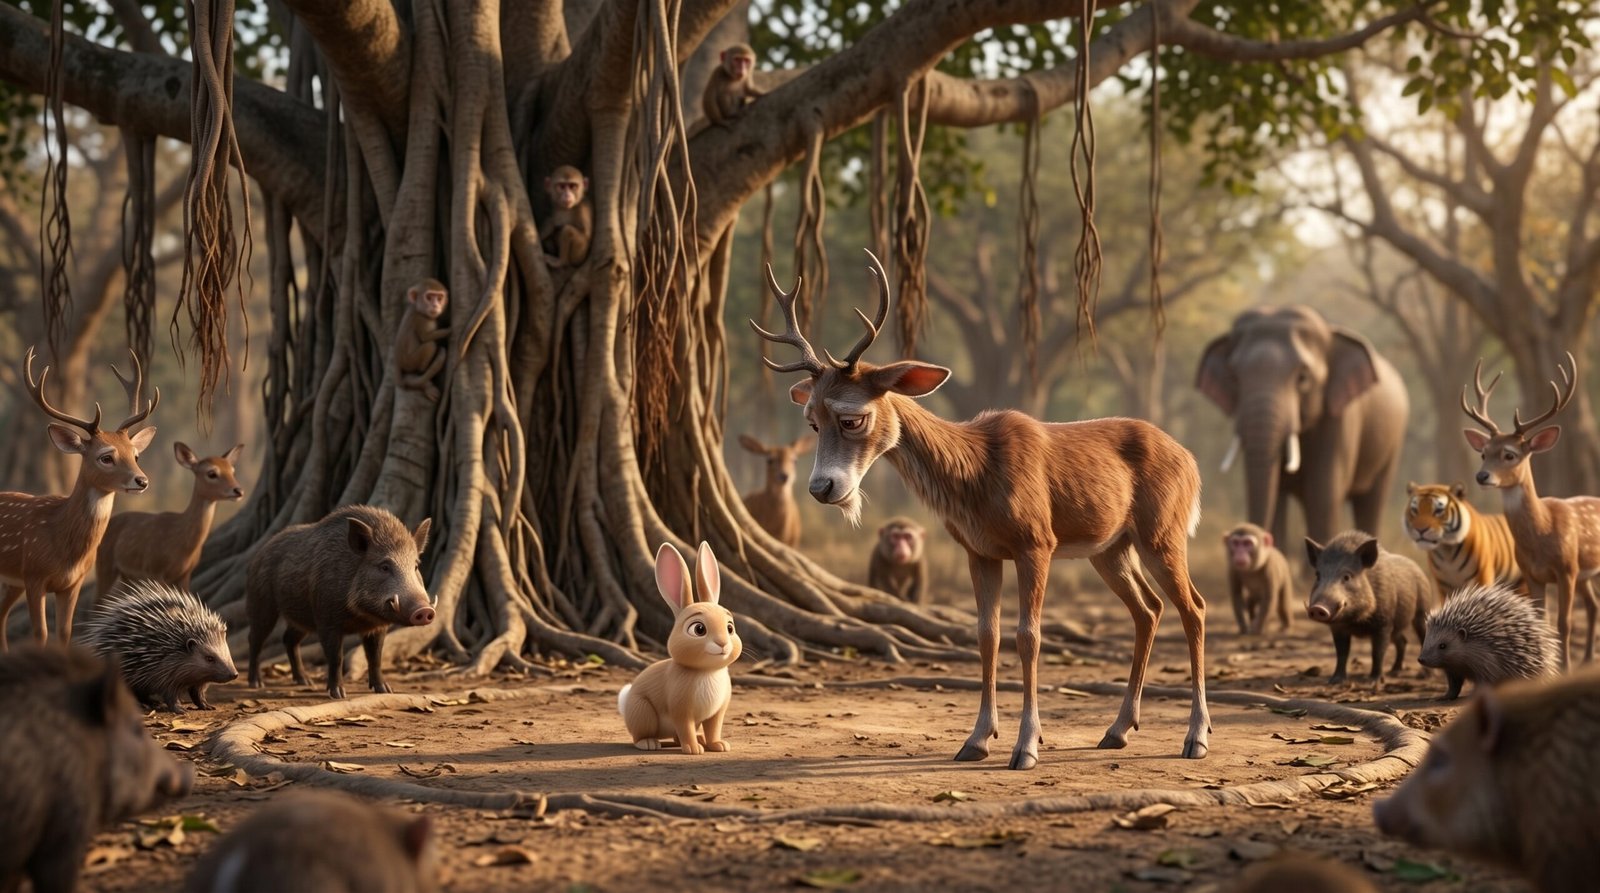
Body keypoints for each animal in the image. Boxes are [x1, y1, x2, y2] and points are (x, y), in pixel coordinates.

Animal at [618, 541, 742, 754]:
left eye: (730, 628)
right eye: (699, 629)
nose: (722, 644)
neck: (706, 671)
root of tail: (626, 704)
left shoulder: (717, 712)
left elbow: (714, 728)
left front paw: (718, 745)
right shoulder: (681, 710)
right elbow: (685, 728)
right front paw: (693, 749)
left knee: (677, 736)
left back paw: (699, 740)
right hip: (642, 711)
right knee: (640, 736)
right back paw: (650, 743)